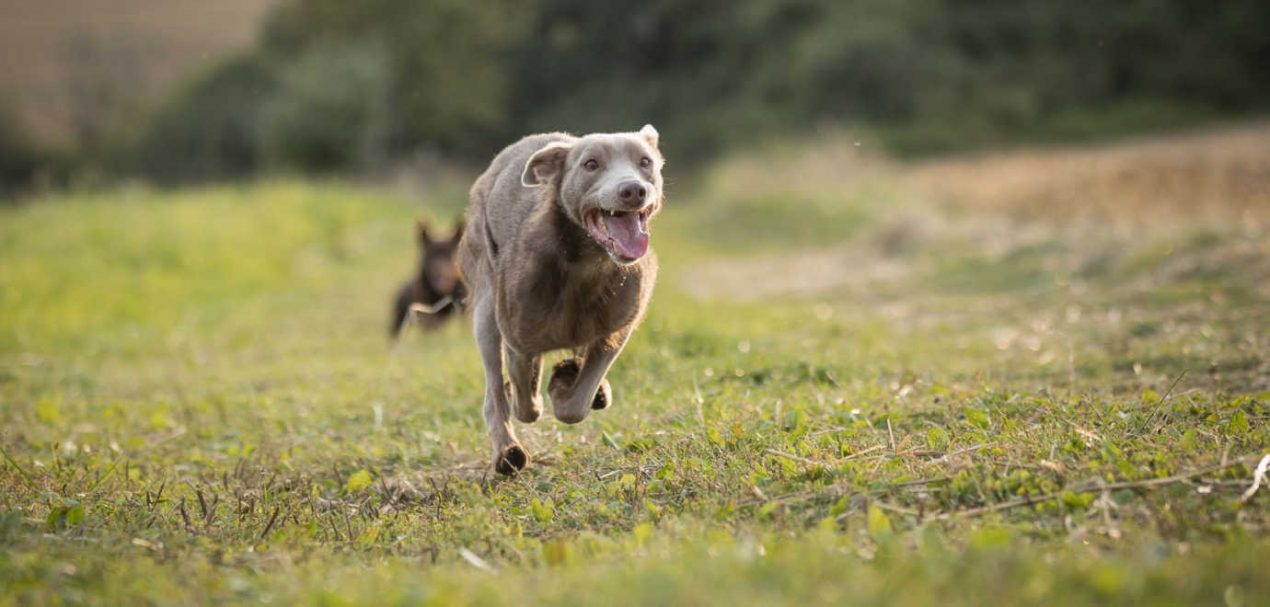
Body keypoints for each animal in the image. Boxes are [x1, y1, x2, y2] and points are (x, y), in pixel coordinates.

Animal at [457, 124, 665, 474]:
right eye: (591, 164)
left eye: (645, 161)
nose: (633, 190)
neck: (587, 265)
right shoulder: (516, 336)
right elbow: (525, 401)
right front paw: (539, 390)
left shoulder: (616, 328)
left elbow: (578, 401)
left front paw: (566, 381)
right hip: (484, 296)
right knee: (494, 390)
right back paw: (507, 451)